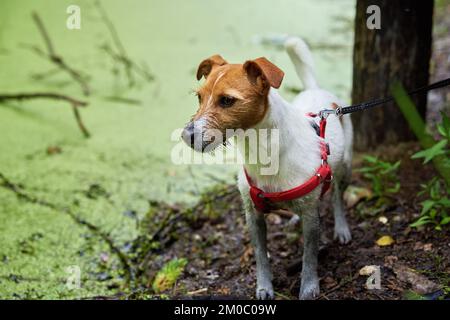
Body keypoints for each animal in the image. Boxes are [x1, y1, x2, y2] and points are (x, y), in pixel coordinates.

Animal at [181, 37, 354, 300]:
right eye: (199, 97)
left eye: (227, 100)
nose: (186, 135)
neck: (263, 153)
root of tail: (315, 89)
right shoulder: (253, 215)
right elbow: (261, 256)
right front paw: (264, 287)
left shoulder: (311, 217)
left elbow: (309, 256)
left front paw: (308, 287)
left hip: (345, 167)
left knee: (337, 198)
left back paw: (342, 227)